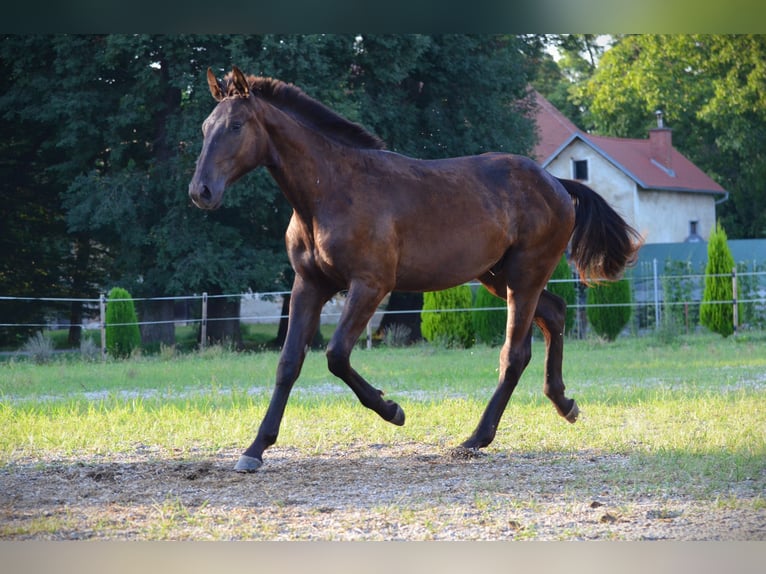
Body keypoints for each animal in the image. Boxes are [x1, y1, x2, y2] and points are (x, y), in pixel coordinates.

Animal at [189, 67, 644, 472]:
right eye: (205, 127)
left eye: (235, 126)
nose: (201, 191)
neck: (331, 191)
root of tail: (557, 184)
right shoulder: (309, 285)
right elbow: (288, 363)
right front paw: (255, 449)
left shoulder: (370, 286)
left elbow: (336, 354)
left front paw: (392, 409)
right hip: (497, 277)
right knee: (555, 313)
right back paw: (564, 403)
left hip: (523, 276)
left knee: (515, 353)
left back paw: (475, 439)